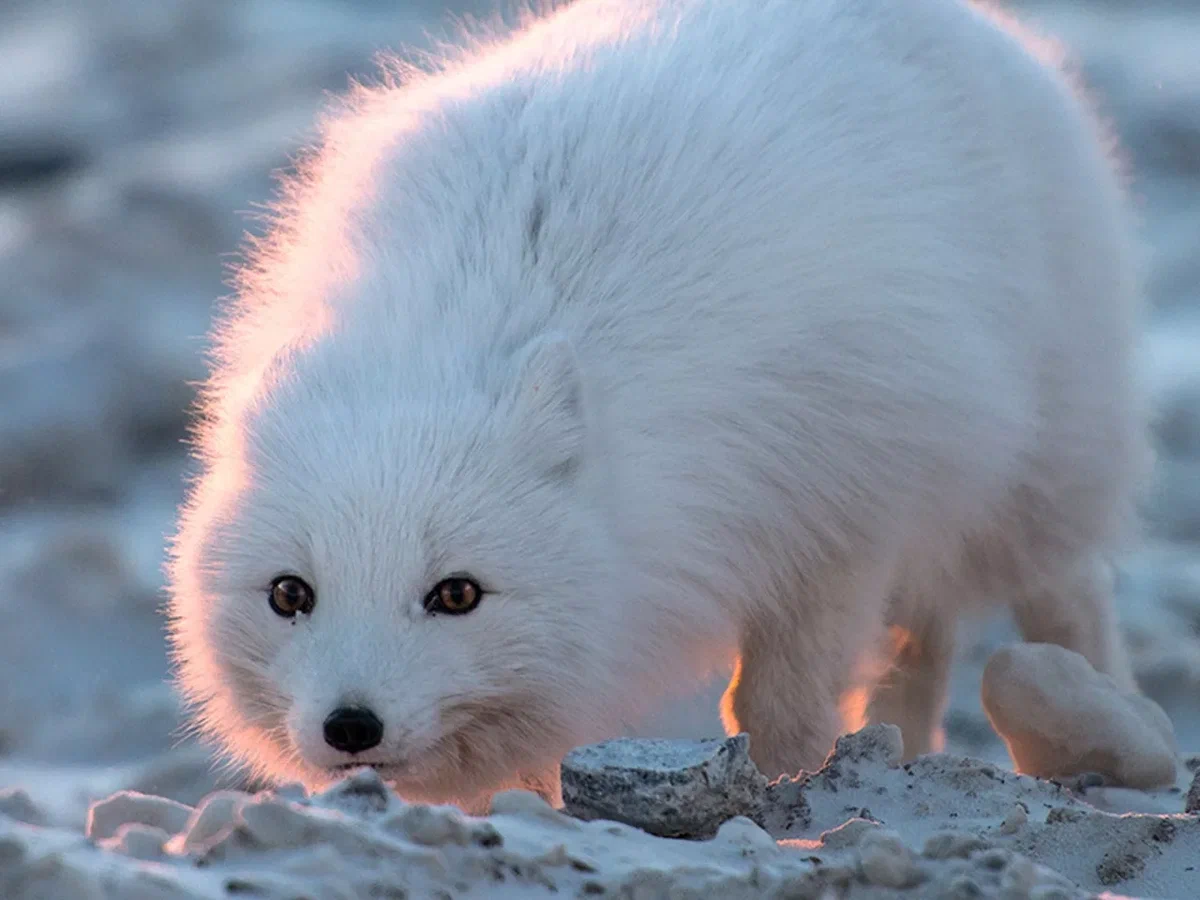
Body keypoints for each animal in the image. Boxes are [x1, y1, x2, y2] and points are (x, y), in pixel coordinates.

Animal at [164, 0, 1147, 811]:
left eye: (456, 594)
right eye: (290, 593)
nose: (350, 726)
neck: (463, 317)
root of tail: (984, 27)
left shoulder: (844, 507)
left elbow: (780, 698)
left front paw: (791, 788)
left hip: (1039, 466)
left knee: (1065, 590)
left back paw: (1112, 725)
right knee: (927, 637)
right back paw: (907, 746)